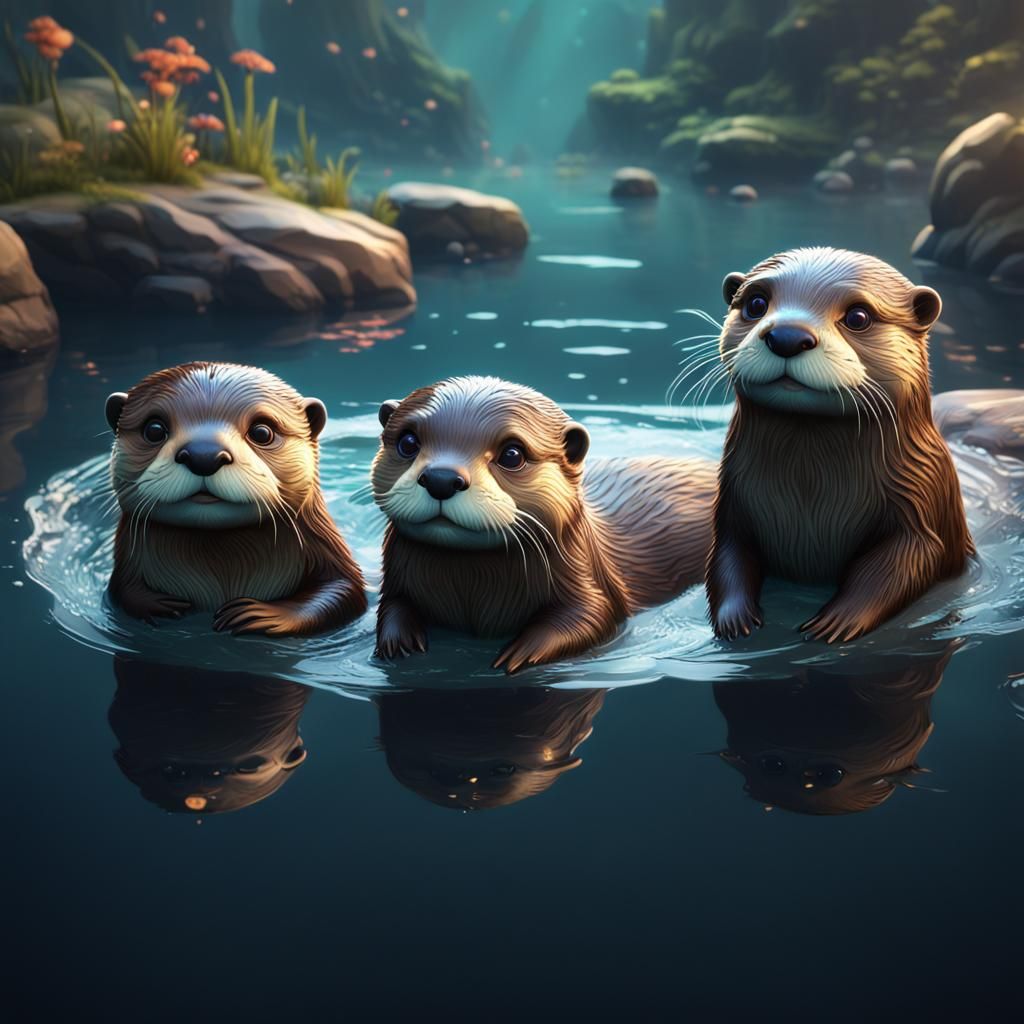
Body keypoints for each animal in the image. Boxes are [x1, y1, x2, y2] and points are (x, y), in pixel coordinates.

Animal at [106, 361, 366, 635]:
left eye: (261, 432)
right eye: (154, 429)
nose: (203, 455)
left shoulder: (322, 543)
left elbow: (342, 589)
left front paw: (260, 614)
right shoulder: (126, 561)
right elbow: (122, 589)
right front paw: (159, 604)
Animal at [371, 376, 717, 672]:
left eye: (512, 454)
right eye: (408, 442)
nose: (441, 478)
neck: (471, 589)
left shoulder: (588, 578)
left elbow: (591, 617)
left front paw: (520, 653)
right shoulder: (397, 576)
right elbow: (392, 603)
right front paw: (398, 642)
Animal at [707, 248, 973, 643]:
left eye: (858, 316)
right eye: (756, 303)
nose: (787, 336)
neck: (809, 488)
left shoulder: (922, 497)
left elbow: (902, 563)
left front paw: (833, 623)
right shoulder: (733, 500)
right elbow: (727, 554)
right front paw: (734, 618)